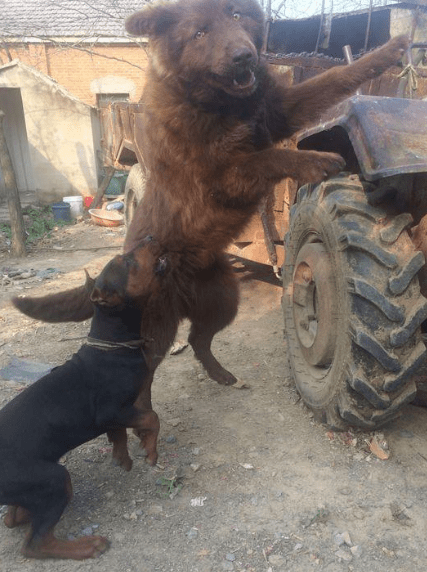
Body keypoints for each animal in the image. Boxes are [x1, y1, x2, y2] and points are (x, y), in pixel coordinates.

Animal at [0, 236, 169, 560]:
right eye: (128, 261)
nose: (151, 238)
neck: (113, 343)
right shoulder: (110, 410)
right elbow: (151, 417)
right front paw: (150, 451)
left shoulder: (121, 410)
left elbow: (123, 431)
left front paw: (125, 454)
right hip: (52, 479)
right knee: (35, 543)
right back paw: (87, 545)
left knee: (13, 518)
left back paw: (25, 513)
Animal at [15, 0, 412, 462]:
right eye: (200, 33)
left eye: (238, 16)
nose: (245, 56)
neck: (217, 104)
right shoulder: (221, 176)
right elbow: (266, 157)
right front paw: (315, 159)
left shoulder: (278, 112)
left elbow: (333, 80)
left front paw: (393, 49)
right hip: (155, 329)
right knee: (146, 376)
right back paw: (145, 431)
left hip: (223, 300)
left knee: (199, 341)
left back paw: (222, 374)